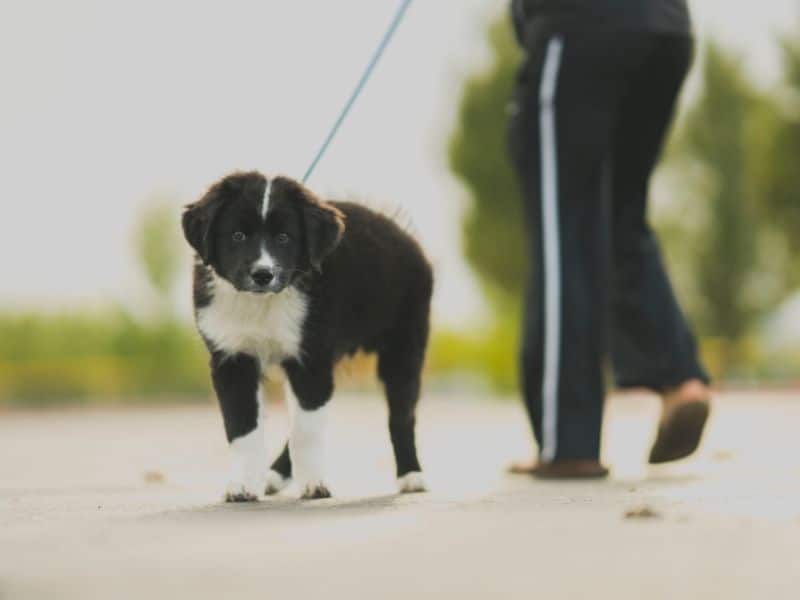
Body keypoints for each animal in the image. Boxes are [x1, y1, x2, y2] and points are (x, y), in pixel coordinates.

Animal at [183, 171, 432, 500]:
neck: (262, 304)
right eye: (237, 236)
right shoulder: (232, 359)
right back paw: (274, 476)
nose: (263, 275)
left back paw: (411, 476)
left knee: (401, 415)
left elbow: (306, 431)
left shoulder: (311, 359)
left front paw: (314, 484)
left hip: (404, 346)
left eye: (284, 238)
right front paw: (243, 486)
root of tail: (403, 233)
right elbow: (242, 428)